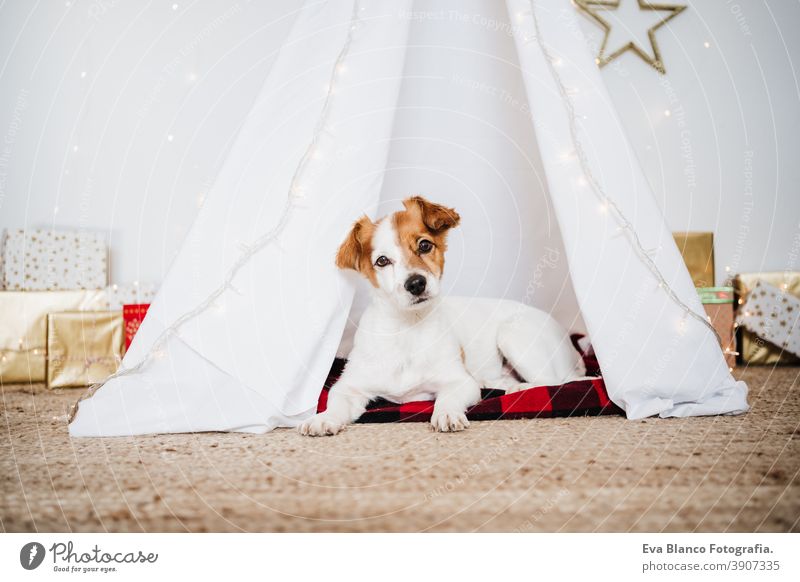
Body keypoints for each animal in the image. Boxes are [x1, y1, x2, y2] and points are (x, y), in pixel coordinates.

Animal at [296, 197, 584, 438]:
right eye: (382, 261)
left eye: (424, 245)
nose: (416, 283)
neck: (407, 328)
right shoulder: (349, 386)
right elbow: (336, 402)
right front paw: (323, 418)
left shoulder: (459, 382)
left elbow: (448, 397)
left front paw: (446, 413)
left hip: (514, 335)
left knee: (557, 382)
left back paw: (522, 388)